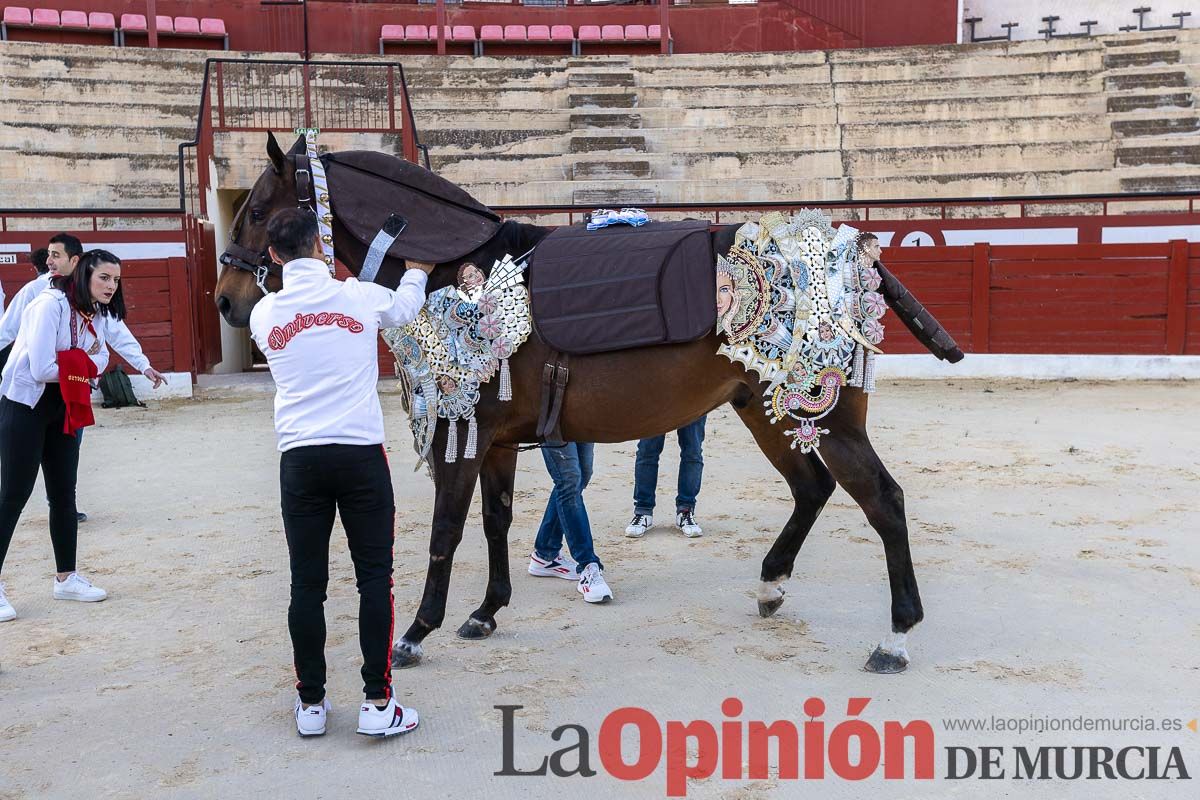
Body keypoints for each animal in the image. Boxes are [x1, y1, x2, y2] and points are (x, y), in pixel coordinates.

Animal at [216, 134, 945, 671]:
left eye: (257, 211)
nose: (226, 299)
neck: (461, 271)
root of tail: (849, 251)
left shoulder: (463, 437)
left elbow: (446, 532)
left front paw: (418, 631)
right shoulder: (497, 442)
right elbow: (496, 524)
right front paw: (485, 612)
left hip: (823, 417)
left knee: (883, 500)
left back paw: (896, 637)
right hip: (764, 409)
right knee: (812, 489)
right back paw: (771, 585)